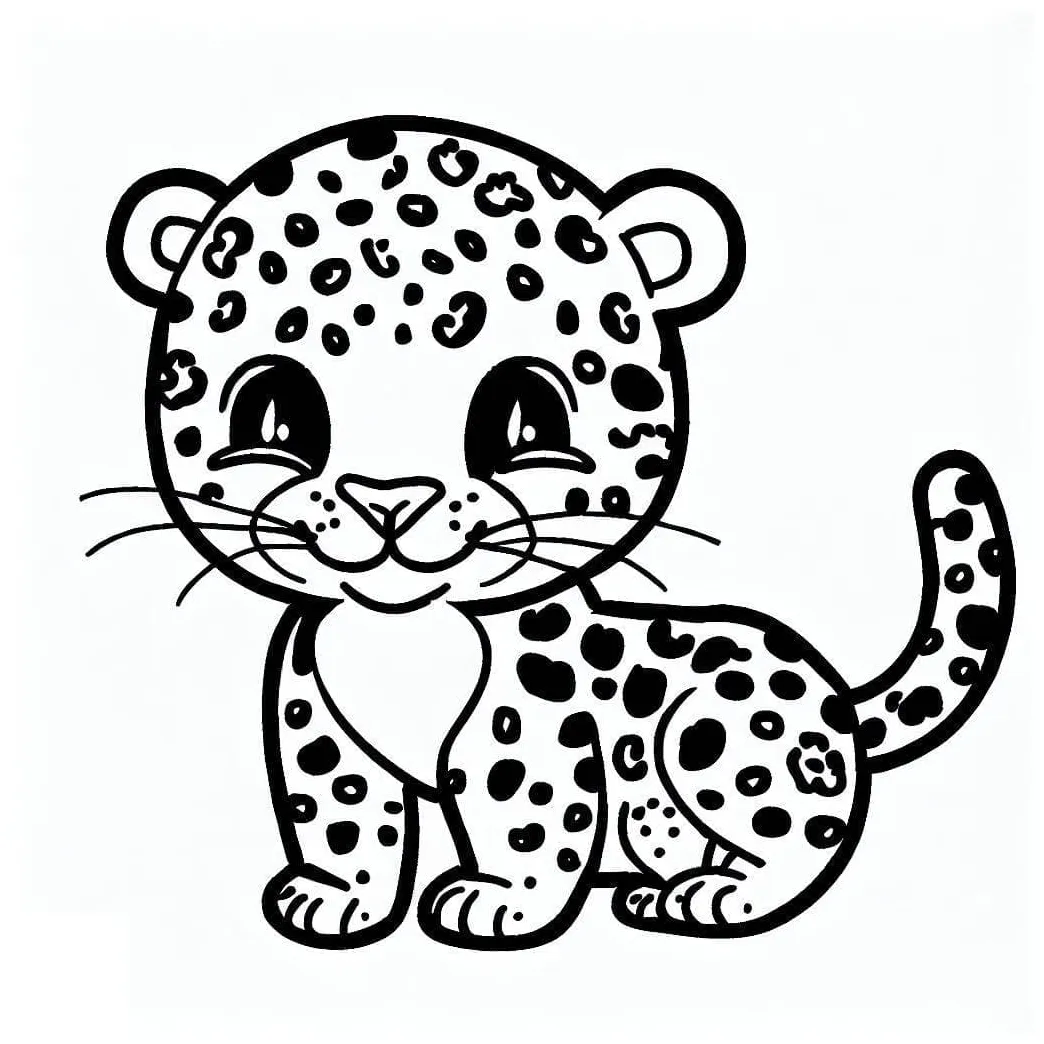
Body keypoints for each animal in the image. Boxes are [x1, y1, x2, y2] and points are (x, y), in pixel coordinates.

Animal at [94, 115, 1015, 950]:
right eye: (274, 414)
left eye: (525, 416)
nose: (389, 498)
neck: (405, 634)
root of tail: (838, 700)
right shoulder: (317, 723)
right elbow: (344, 815)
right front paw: (335, 898)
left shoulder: (532, 728)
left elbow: (524, 812)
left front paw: (496, 902)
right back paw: (662, 889)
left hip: (713, 736)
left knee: (798, 837)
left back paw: (721, 896)